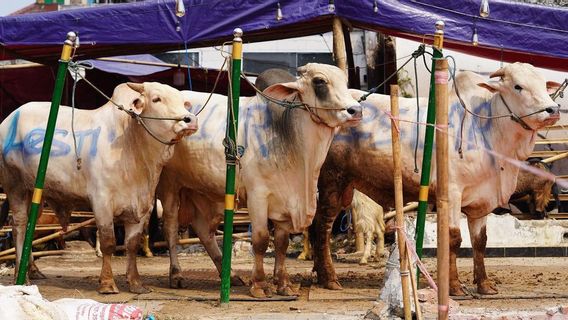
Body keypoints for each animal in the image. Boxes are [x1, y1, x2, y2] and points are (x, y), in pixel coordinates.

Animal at [0, 82, 197, 292]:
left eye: (183, 101)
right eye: (156, 99)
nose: (190, 119)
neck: (132, 146)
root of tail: (10, 118)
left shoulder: (143, 206)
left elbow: (132, 244)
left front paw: (135, 282)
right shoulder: (101, 202)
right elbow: (108, 242)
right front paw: (107, 283)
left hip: (35, 192)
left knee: (29, 226)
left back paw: (32, 270)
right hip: (15, 185)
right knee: (19, 226)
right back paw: (21, 277)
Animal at [158, 63, 362, 298]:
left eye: (345, 82)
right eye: (319, 81)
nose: (356, 110)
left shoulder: (285, 201)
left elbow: (281, 243)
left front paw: (283, 284)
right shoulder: (258, 196)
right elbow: (261, 239)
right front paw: (259, 285)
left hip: (207, 191)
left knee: (204, 231)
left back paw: (230, 274)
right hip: (169, 185)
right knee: (171, 229)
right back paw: (176, 275)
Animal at [312, 62, 560, 296]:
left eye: (543, 84)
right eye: (518, 86)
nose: (553, 109)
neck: (486, 129)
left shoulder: (481, 200)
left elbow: (480, 242)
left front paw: (484, 285)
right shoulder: (452, 193)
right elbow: (454, 238)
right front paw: (454, 286)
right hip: (331, 182)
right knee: (322, 227)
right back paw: (329, 278)